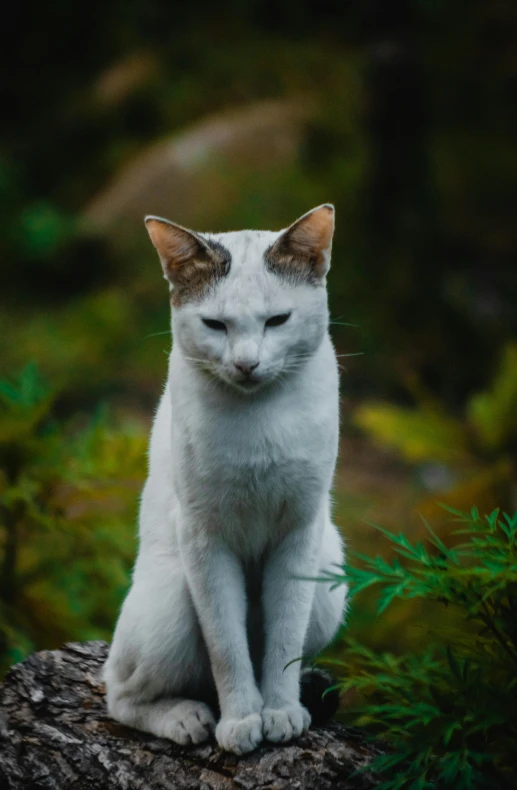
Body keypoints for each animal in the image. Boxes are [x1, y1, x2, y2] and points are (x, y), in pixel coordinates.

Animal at [104, 203, 346, 756]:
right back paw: (186, 718)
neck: (259, 420)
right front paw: (241, 719)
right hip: (172, 595)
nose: (246, 363)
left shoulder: (300, 534)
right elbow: (227, 646)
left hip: (328, 576)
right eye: (215, 324)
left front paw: (279, 710)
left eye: (277, 320)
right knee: (120, 694)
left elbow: (283, 639)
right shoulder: (204, 539)